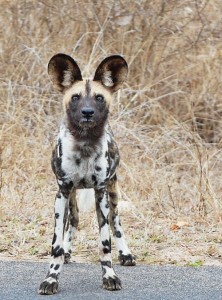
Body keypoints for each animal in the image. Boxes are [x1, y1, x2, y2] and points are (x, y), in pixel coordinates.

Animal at [38, 52, 135, 294]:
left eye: (99, 98)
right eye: (75, 97)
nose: (88, 112)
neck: (85, 143)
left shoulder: (101, 193)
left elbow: (104, 243)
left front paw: (110, 276)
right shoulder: (62, 193)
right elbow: (56, 245)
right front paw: (51, 279)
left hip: (113, 193)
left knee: (116, 222)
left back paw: (125, 253)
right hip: (70, 197)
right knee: (73, 221)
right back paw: (67, 251)